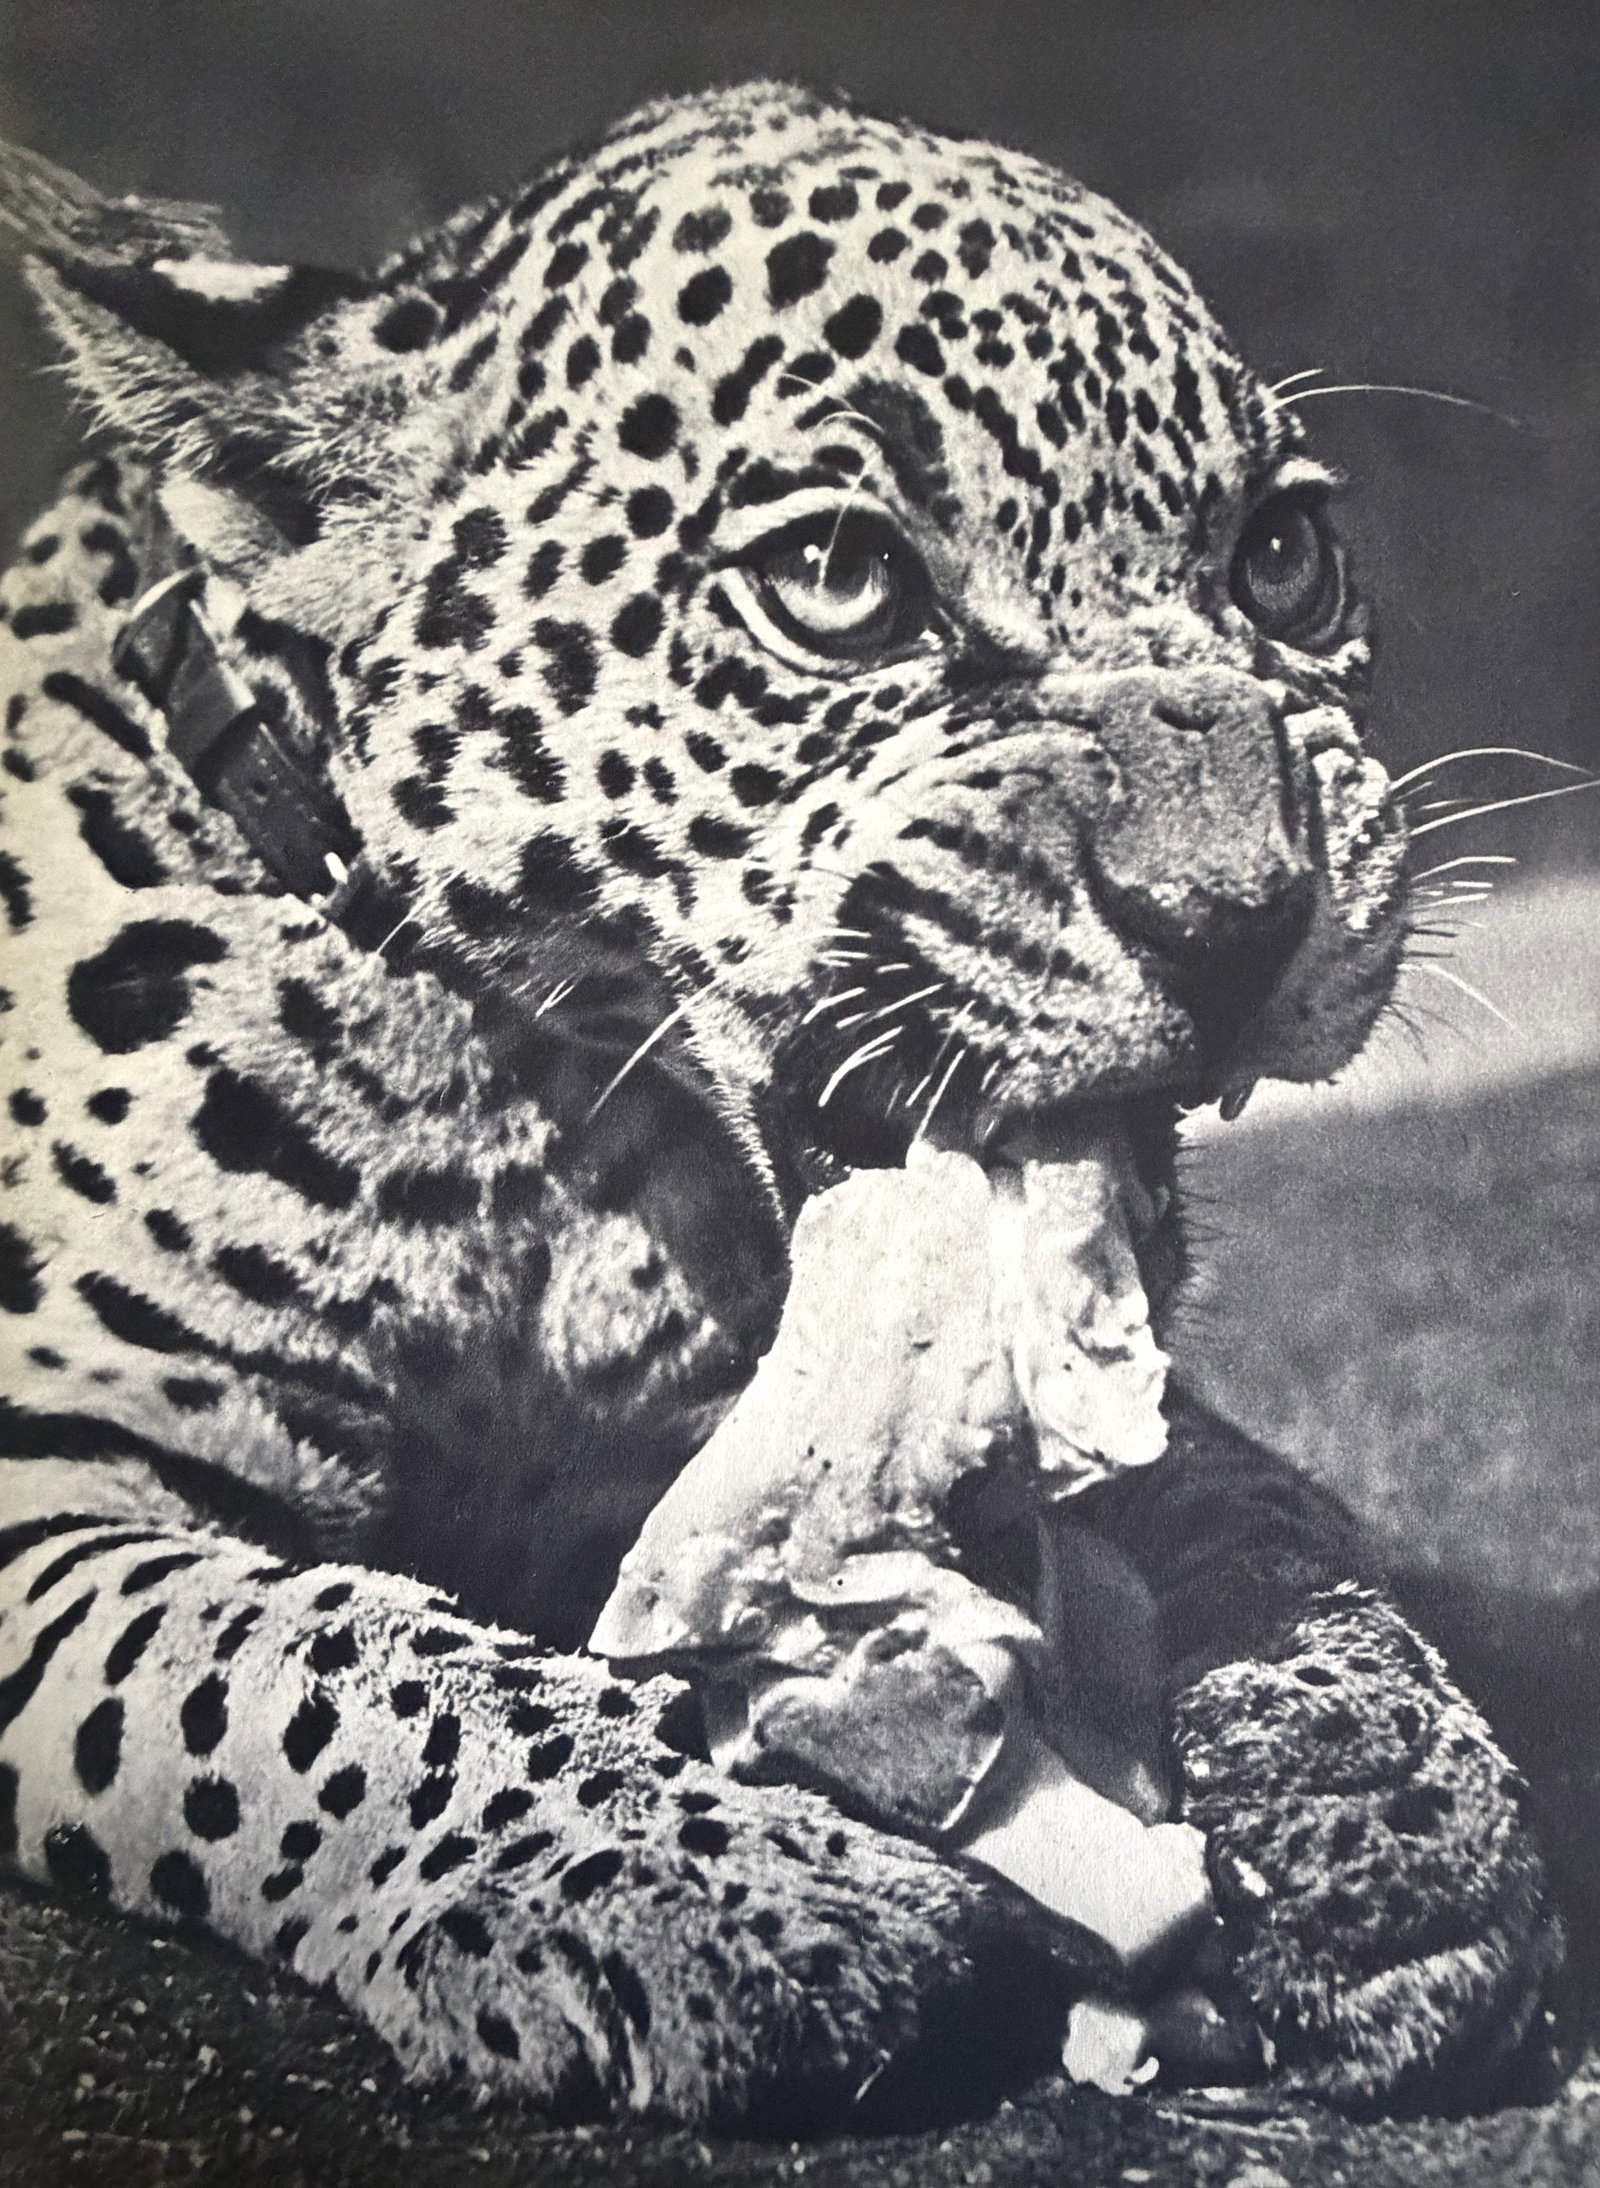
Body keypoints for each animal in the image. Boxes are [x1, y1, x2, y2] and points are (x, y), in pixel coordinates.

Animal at [0, 81, 1563, 2134]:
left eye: (1285, 555)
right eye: (840, 584)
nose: (1241, 912)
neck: (557, 1162)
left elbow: (1267, 1511)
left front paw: (1374, 1796)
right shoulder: (44, 1468)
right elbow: (305, 1660)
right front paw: (698, 1864)